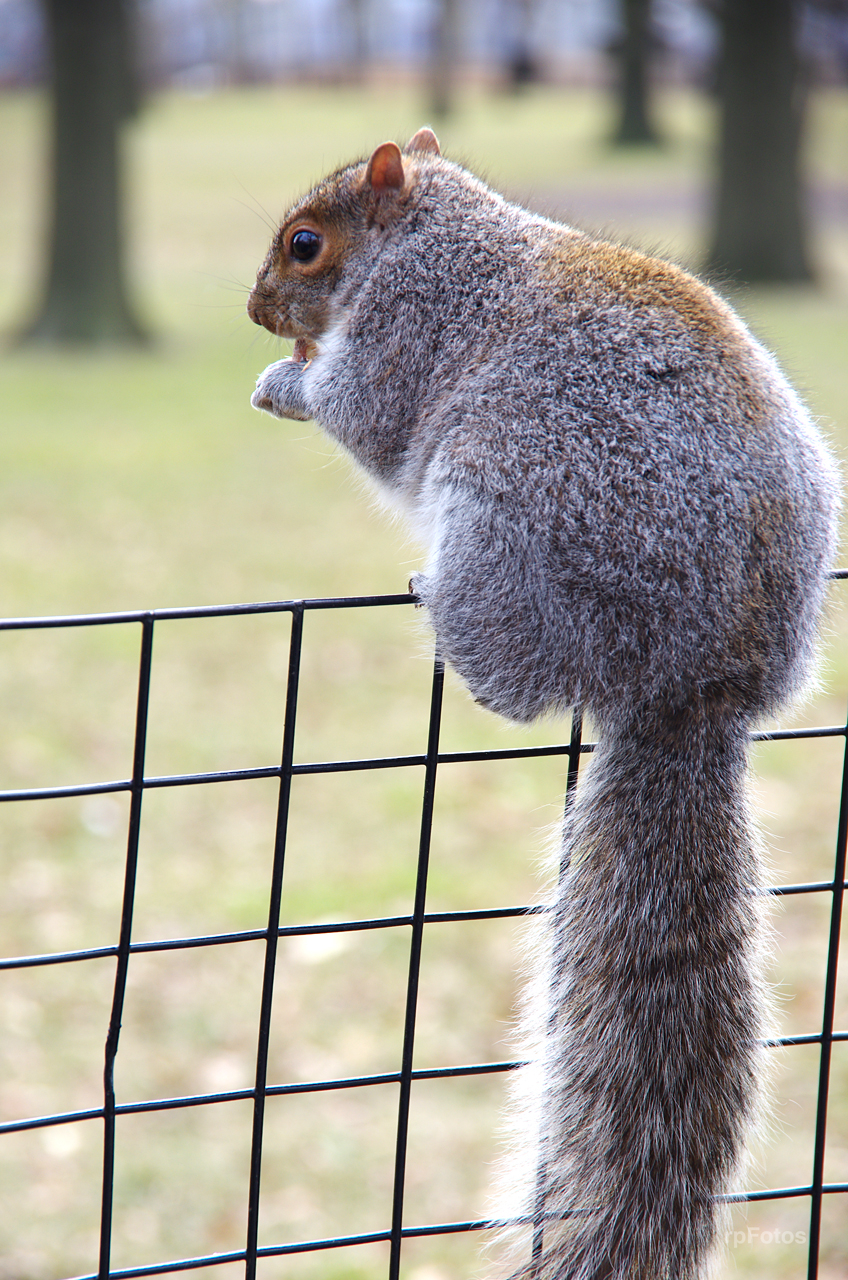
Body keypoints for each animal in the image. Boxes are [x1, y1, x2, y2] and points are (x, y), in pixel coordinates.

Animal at [247, 129, 840, 1279]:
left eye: (304, 244)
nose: (254, 309)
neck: (445, 232)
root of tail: (696, 686)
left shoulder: (402, 330)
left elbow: (359, 408)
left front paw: (282, 382)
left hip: (501, 532)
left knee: (515, 685)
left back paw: (443, 614)